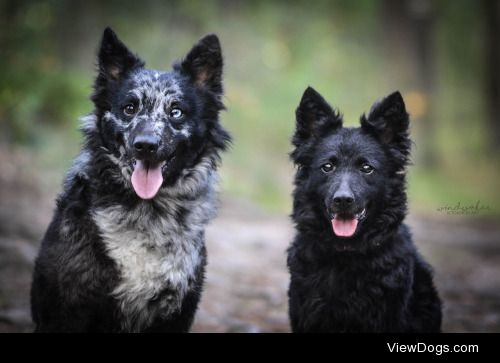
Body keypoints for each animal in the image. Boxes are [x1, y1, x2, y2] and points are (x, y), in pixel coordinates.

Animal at [29, 27, 229, 332]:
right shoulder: (66, 312)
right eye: (129, 108)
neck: (147, 214)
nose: (145, 145)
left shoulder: (177, 312)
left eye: (176, 111)